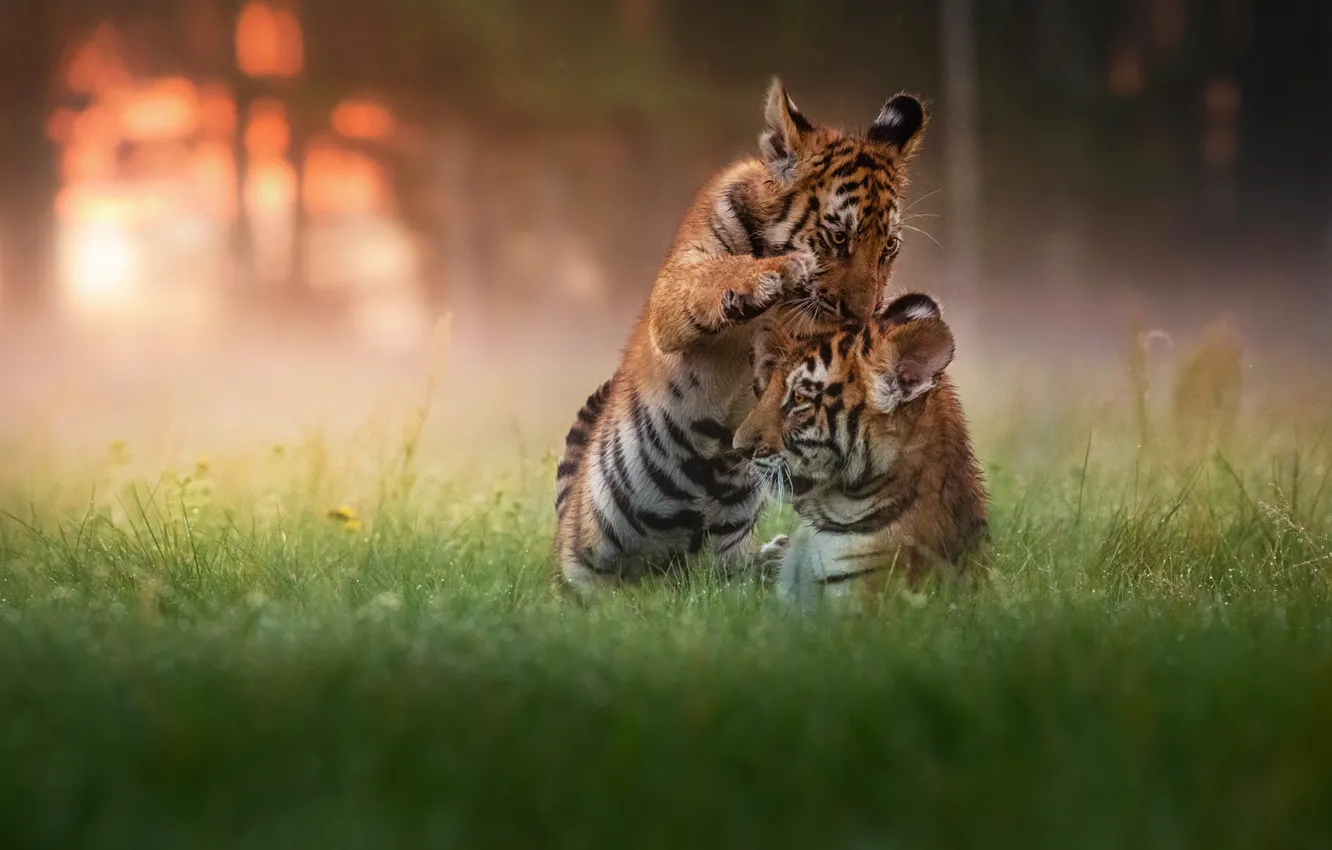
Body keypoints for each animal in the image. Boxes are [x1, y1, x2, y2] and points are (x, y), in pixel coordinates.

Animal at [555, 77, 929, 597]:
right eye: (839, 238)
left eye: (889, 246)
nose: (860, 314)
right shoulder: (678, 285)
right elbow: (716, 276)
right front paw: (772, 274)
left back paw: (775, 556)